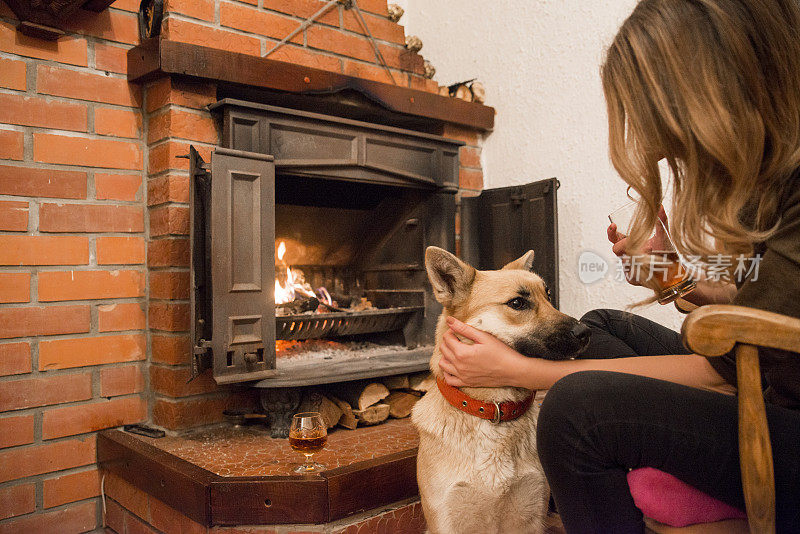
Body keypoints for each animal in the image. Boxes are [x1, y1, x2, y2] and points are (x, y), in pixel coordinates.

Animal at [412, 248, 588, 534]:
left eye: (549, 296)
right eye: (517, 303)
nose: (585, 332)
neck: (494, 412)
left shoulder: (531, 517)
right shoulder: (446, 521)